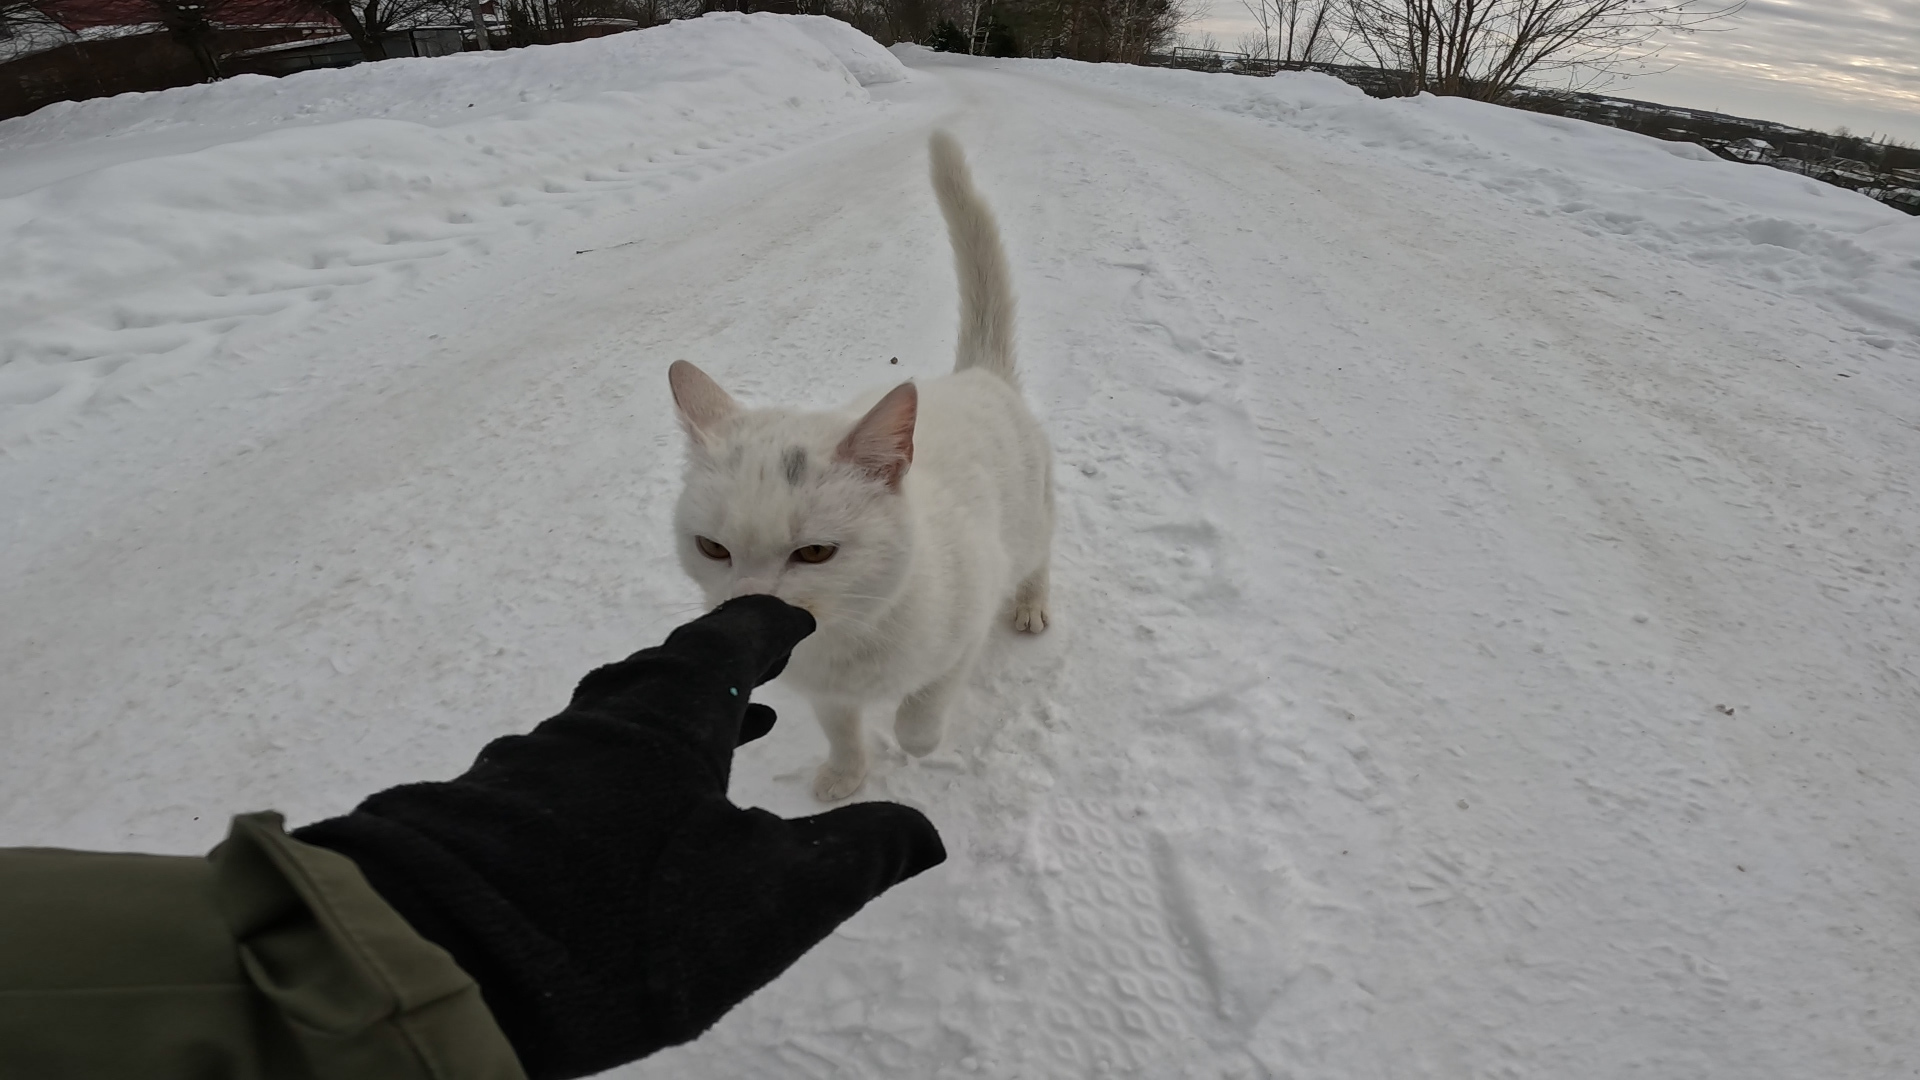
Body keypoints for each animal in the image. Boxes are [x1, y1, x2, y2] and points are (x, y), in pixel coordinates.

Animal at [668, 130, 1059, 795]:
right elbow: (840, 729)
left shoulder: (965, 623)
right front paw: (844, 775)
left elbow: (922, 712)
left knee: (1040, 553)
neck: (845, 640)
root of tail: (975, 373)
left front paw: (914, 738)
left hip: (1029, 520)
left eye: (815, 553)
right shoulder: (825, 694)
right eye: (712, 548)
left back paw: (1031, 602)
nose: (748, 606)